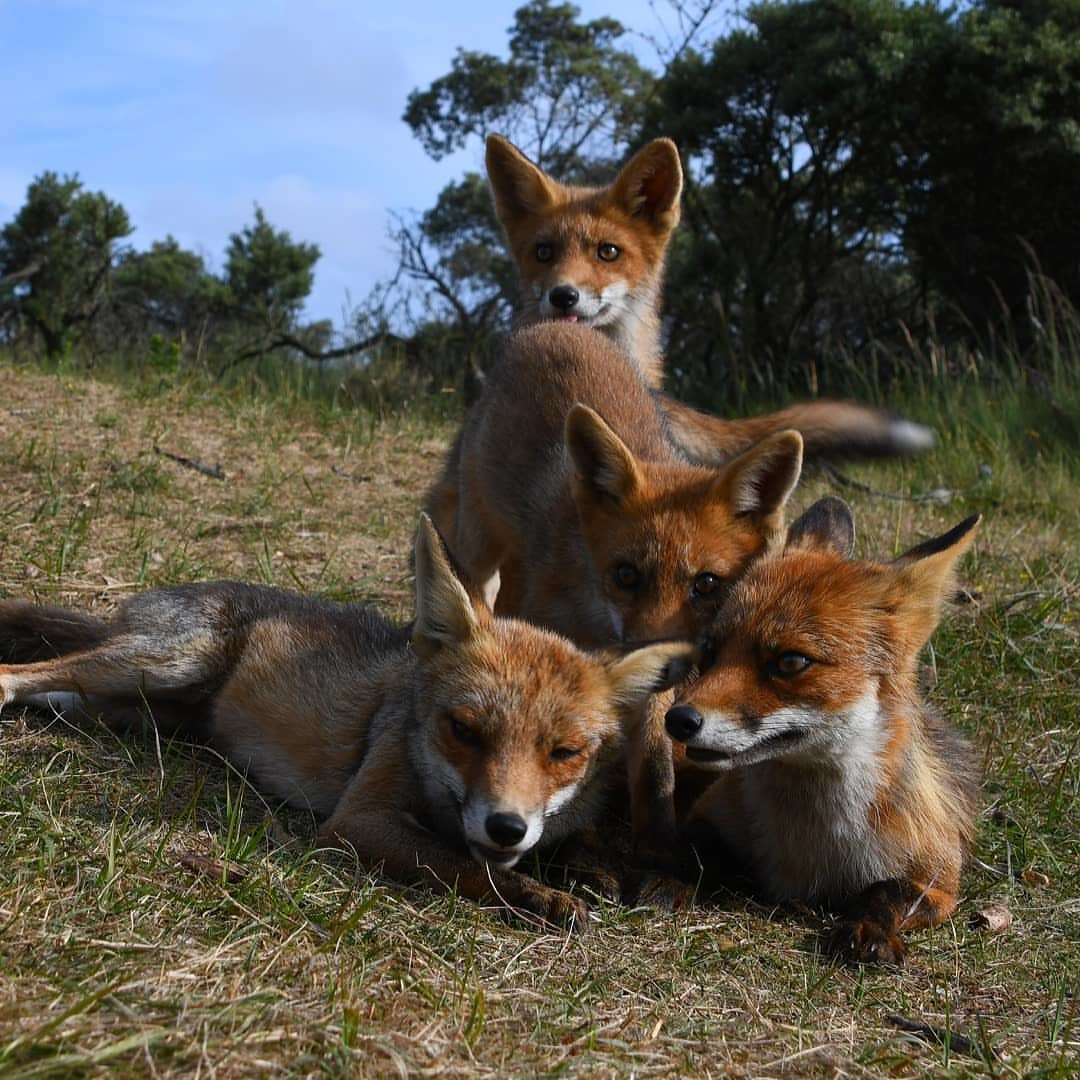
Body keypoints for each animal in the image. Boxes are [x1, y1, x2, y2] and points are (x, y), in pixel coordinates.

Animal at [0, 514, 691, 928]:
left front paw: (602, 871)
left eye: (564, 753)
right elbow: (471, 868)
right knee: (22, 670)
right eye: (464, 730)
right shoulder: (362, 820)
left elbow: (578, 842)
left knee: (58, 688)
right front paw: (542, 895)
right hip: (163, 662)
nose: (507, 827)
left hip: (137, 703)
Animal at [660, 496, 984, 963]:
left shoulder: (938, 880)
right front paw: (666, 882)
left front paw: (867, 928)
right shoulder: (706, 817)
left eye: (791, 662)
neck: (814, 849)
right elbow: (698, 853)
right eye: (712, 651)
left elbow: (884, 891)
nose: (679, 720)